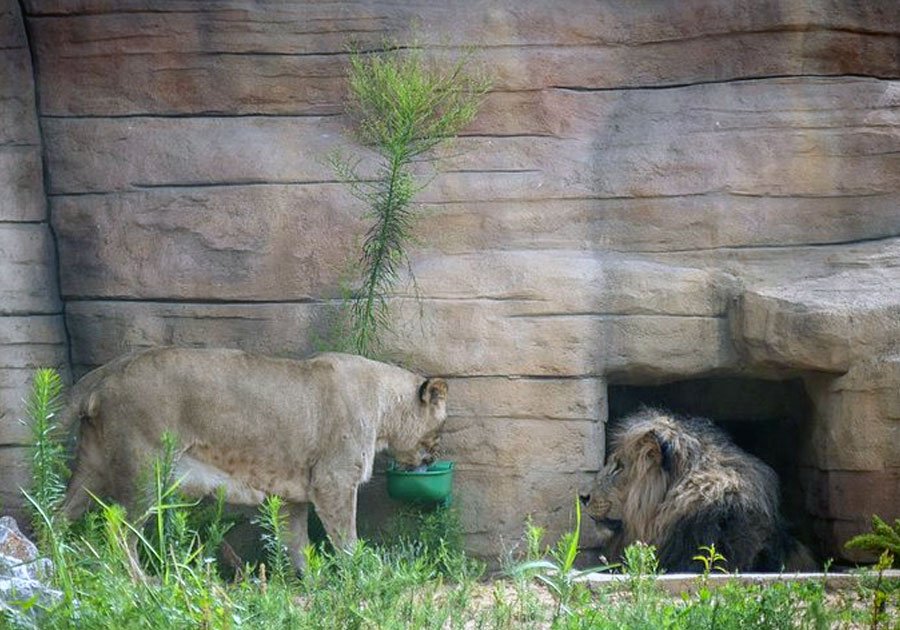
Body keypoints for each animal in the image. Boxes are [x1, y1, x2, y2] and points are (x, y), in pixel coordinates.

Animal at [59, 348, 446, 572]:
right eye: (441, 426)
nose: (433, 456)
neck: (384, 407)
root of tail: (106, 372)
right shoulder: (333, 481)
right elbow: (345, 538)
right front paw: (362, 576)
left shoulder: (292, 497)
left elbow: (297, 545)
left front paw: (312, 583)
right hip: (146, 472)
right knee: (117, 531)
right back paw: (143, 585)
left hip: (92, 468)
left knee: (58, 515)